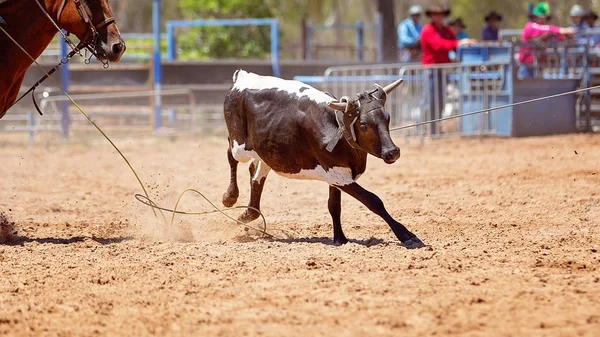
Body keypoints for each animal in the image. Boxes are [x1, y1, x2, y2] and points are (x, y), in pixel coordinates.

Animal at [223, 69, 424, 248]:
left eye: (387, 118)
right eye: (364, 125)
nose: (392, 152)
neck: (337, 127)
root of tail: (242, 77)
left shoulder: (336, 175)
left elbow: (334, 206)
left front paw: (340, 238)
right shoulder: (338, 174)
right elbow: (373, 201)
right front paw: (406, 235)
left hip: (266, 153)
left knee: (256, 175)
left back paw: (248, 214)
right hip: (240, 145)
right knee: (231, 155)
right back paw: (230, 197)